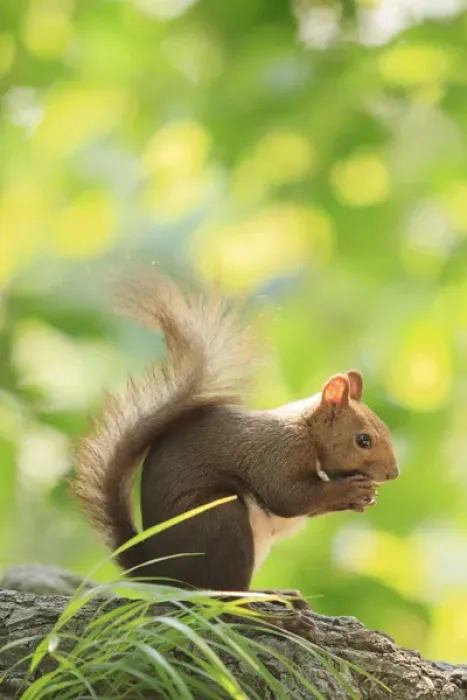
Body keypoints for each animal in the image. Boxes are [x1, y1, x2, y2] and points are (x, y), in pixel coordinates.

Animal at [72, 271, 399, 595]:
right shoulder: (276, 456)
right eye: (363, 440)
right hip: (221, 521)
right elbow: (290, 498)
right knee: (218, 588)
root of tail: (164, 576)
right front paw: (349, 490)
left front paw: (363, 497)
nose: (393, 474)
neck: (307, 433)